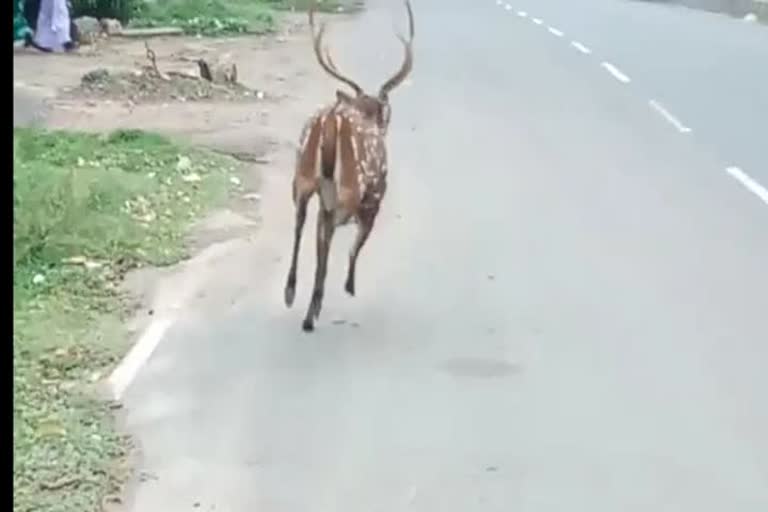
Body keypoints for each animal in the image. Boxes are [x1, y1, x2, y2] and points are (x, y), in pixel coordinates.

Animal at [282, 0, 414, 332]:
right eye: (384, 113)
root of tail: (332, 120)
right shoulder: (374, 197)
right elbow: (357, 244)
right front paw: (348, 286)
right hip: (351, 187)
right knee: (329, 231)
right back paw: (311, 309)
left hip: (303, 176)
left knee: (301, 221)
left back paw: (292, 295)